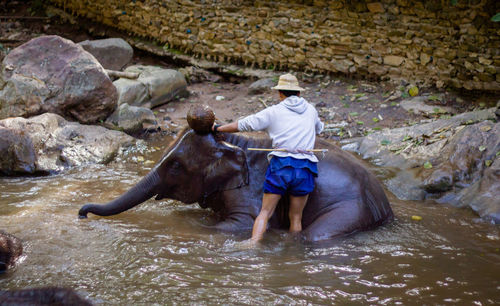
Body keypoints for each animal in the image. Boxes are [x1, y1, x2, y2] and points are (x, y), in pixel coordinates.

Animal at [79, 126, 394, 241]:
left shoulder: (251, 192)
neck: (233, 143)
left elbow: (241, 224)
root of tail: (386, 208)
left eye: (176, 166)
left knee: (316, 235)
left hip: (350, 210)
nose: (82, 213)